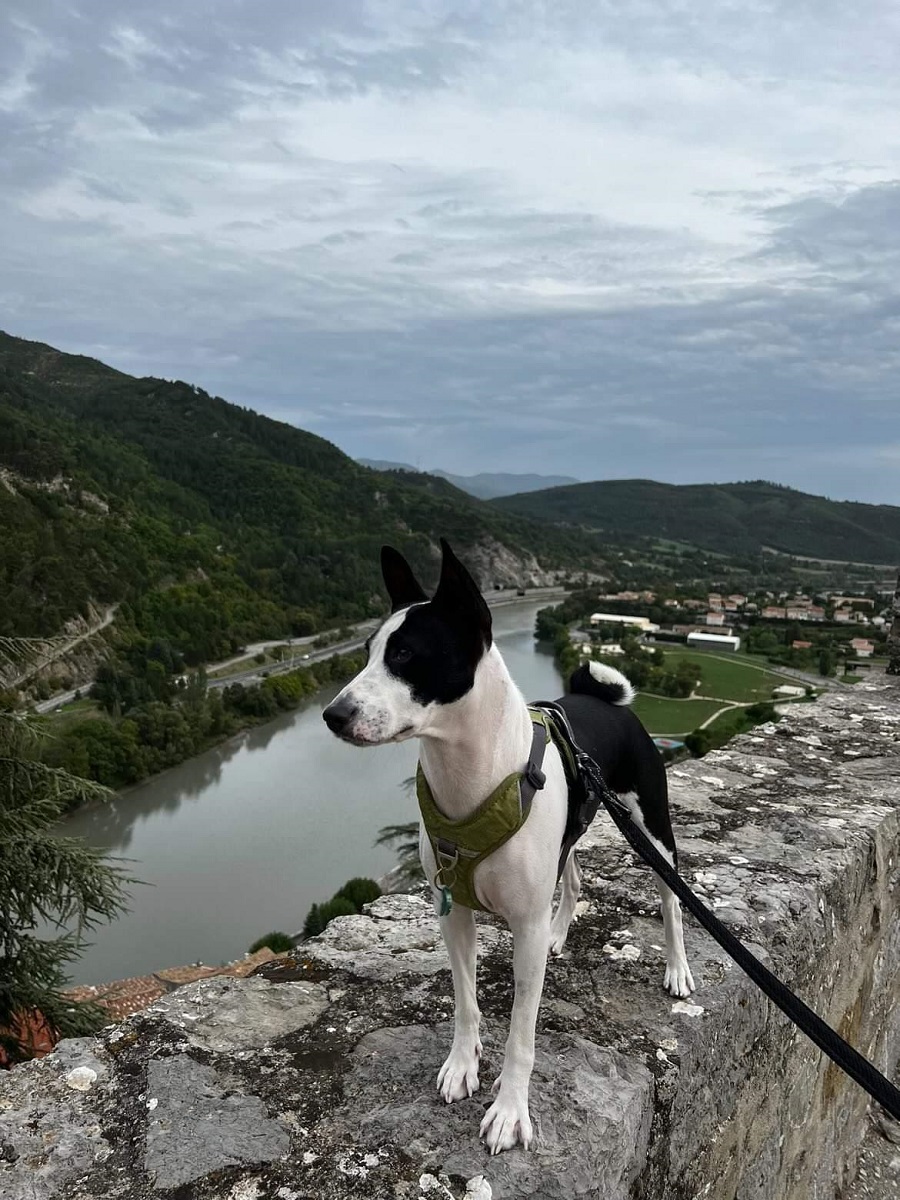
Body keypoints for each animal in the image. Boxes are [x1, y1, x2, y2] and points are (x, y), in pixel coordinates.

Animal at [324, 542, 696, 1152]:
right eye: (366, 652)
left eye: (404, 654)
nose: (333, 715)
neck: (471, 781)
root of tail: (605, 701)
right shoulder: (453, 913)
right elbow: (465, 1001)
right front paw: (462, 1064)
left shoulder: (522, 926)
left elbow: (522, 1033)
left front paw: (510, 1109)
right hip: (568, 838)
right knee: (573, 879)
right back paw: (561, 931)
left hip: (654, 832)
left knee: (671, 901)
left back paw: (678, 968)